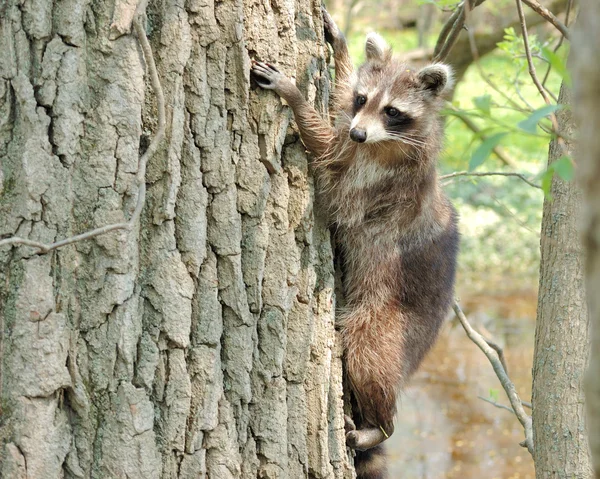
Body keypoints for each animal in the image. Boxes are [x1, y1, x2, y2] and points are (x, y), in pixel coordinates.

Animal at [251, 11, 458, 479]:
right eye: (363, 98)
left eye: (393, 111)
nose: (360, 133)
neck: (384, 141)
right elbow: (338, 109)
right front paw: (342, 49)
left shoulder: (377, 180)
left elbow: (330, 167)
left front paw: (295, 96)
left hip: (388, 324)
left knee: (368, 358)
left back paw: (380, 426)